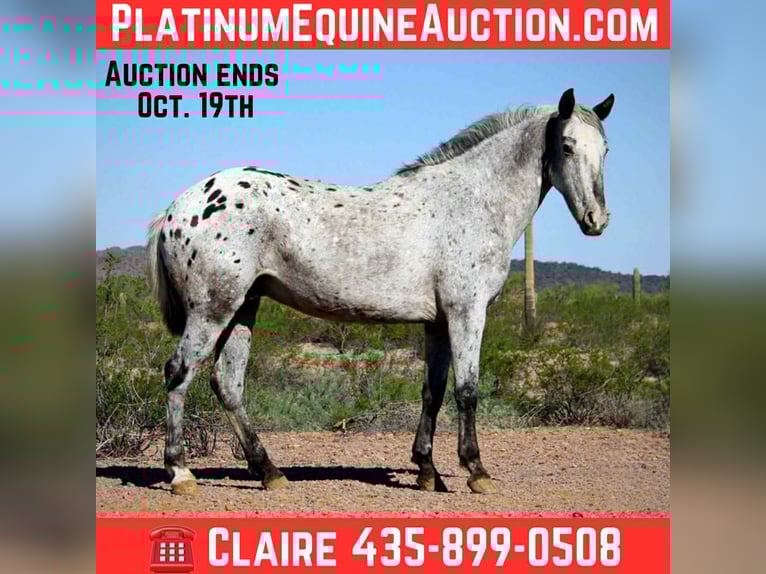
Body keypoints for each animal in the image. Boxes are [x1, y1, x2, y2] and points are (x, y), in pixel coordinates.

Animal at [147, 88, 614, 495]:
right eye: (567, 146)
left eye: (605, 150)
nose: (597, 220)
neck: (470, 201)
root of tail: (178, 207)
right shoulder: (467, 313)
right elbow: (467, 390)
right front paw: (476, 471)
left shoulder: (437, 322)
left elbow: (433, 391)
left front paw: (427, 471)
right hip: (212, 310)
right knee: (179, 373)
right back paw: (181, 473)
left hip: (243, 308)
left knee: (227, 384)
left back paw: (270, 472)